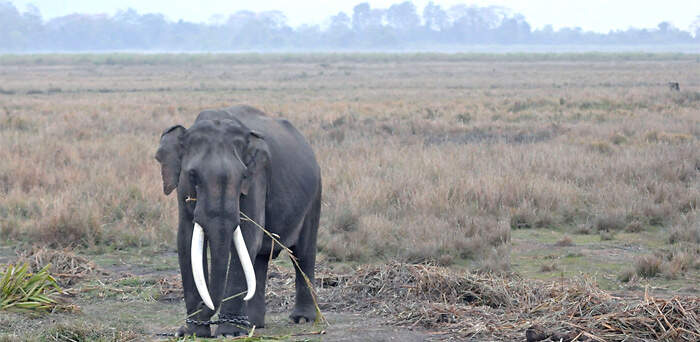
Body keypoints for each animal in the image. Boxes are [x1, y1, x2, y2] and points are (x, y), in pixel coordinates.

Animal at [154, 106, 322, 336]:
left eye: (243, 176)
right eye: (193, 175)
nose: (182, 329)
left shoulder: (257, 178)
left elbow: (248, 235)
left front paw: (227, 333)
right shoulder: (182, 189)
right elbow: (186, 241)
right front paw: (193, 333)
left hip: (315, 196)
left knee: (303, 253)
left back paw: (302, 319)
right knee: (259, 260)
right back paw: (252, 324)